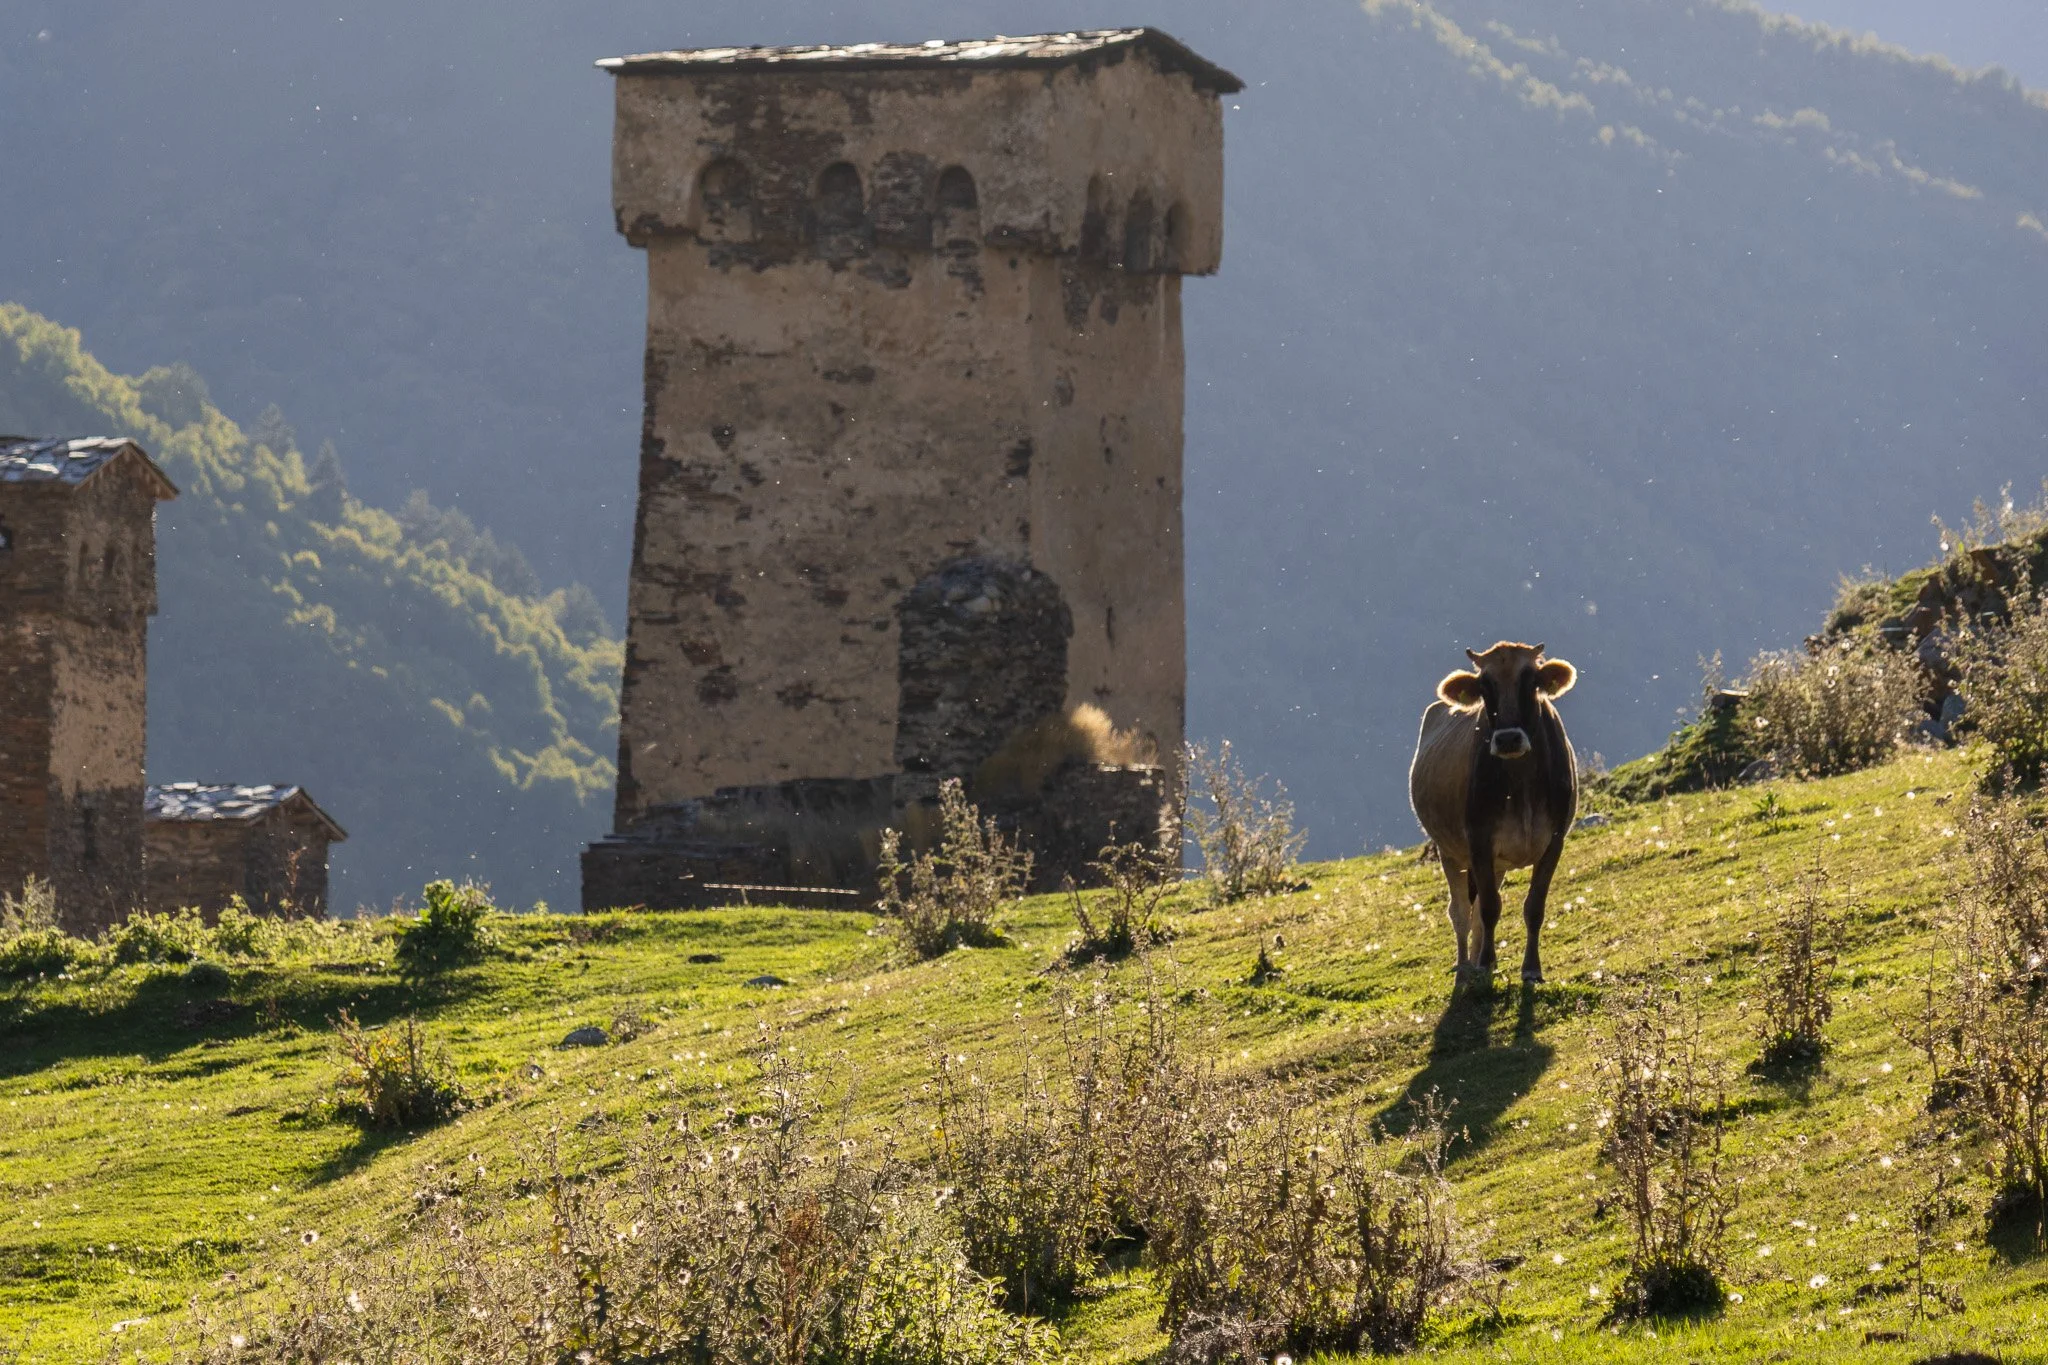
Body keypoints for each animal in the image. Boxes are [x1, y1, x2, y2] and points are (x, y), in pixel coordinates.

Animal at [1408, 641, 1578, 984]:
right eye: (1485, 687)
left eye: (1532, 681)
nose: (1508, 738)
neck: (1521, 782)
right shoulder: (1479, 842)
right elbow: (1487, 909)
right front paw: (1484, 963)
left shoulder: (1554, 841)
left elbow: (1533, 907)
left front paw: (1531, 969)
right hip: (1450, 852)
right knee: (1461, 911)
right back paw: (1465, 967)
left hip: (1495, 863)